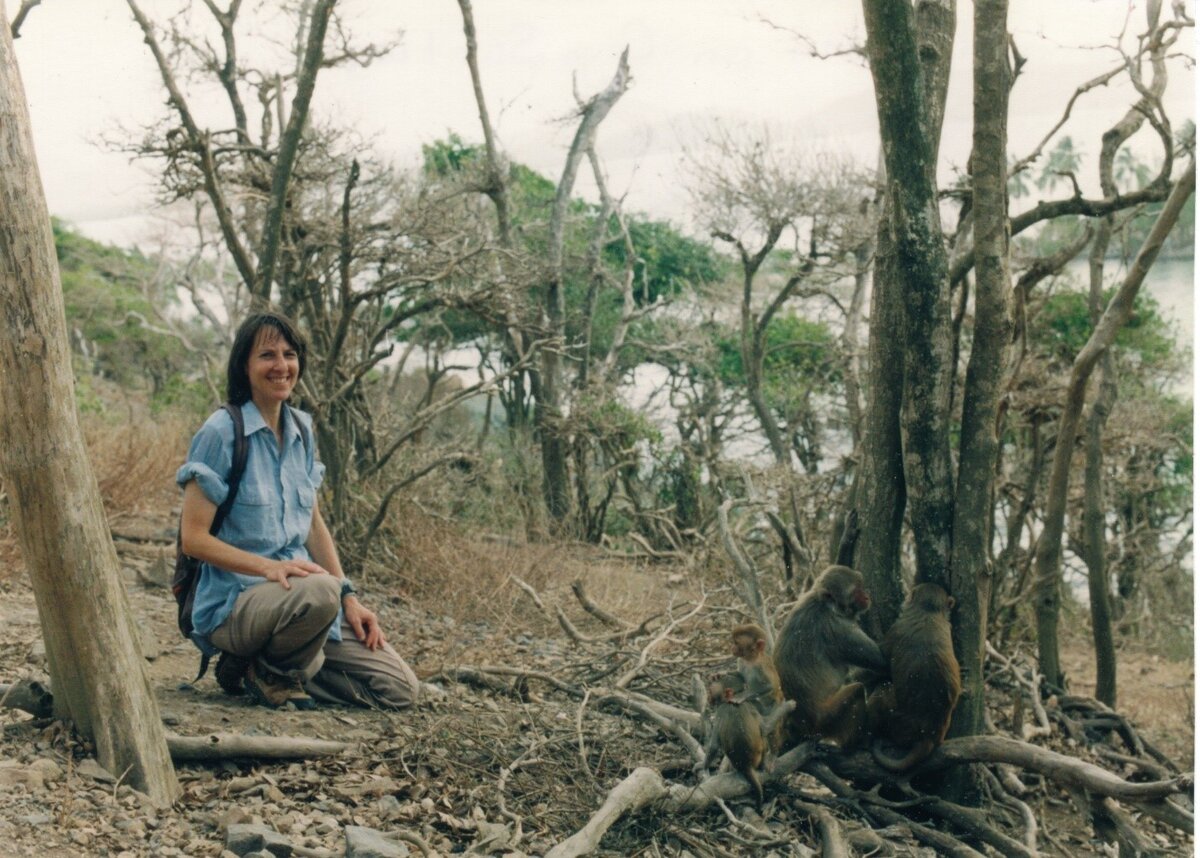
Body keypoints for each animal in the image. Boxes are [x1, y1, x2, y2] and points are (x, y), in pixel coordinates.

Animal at [700, 676, 768, 811]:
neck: (732, 700)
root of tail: (747, 765)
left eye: (711, 691)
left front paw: (701, 766)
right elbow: (764, 728)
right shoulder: (750, 705)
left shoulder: (721, 710)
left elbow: (714, 745)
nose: (708, 697)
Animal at [868, 583, 960, 772]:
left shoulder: (897, 628)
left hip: (897, 722)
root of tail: (928, 736)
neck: (928, 613)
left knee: (882, 690)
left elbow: (878, 663)